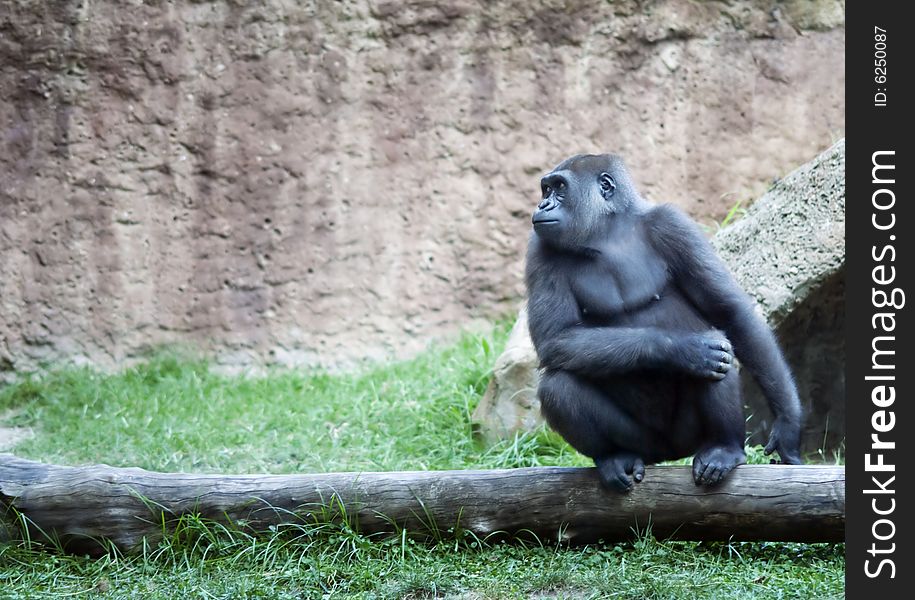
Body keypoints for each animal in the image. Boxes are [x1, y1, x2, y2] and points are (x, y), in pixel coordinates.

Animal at [524, 155, 804, 492]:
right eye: (546, 189)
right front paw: (683, 349)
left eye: (559, 188)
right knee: (558, 386)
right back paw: (613, 456)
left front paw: (788, 424)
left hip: (689, 438)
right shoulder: (539, 250)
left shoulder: (672, 224)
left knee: (720, 352)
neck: (607, 232)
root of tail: (670, 454)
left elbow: (730, 312)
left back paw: (724, 448)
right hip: (645, 444)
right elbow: (556, 339)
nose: (543, 205)